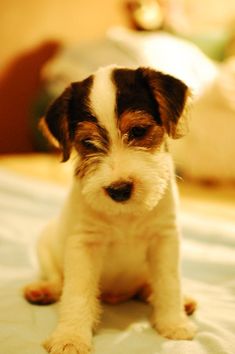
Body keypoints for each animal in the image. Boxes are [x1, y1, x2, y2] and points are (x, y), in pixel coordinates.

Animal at [24, 65, 196, 354]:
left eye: (138, 130)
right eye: (88, 143)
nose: (119, 190)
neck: (126, 216)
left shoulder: (165, 239)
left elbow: (169, 283)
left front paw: (174, 323)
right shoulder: (83, 245)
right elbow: (77, 292)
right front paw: (71, 337)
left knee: (150, 286)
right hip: (45, 245)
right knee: (58, 279)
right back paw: (43, 290)